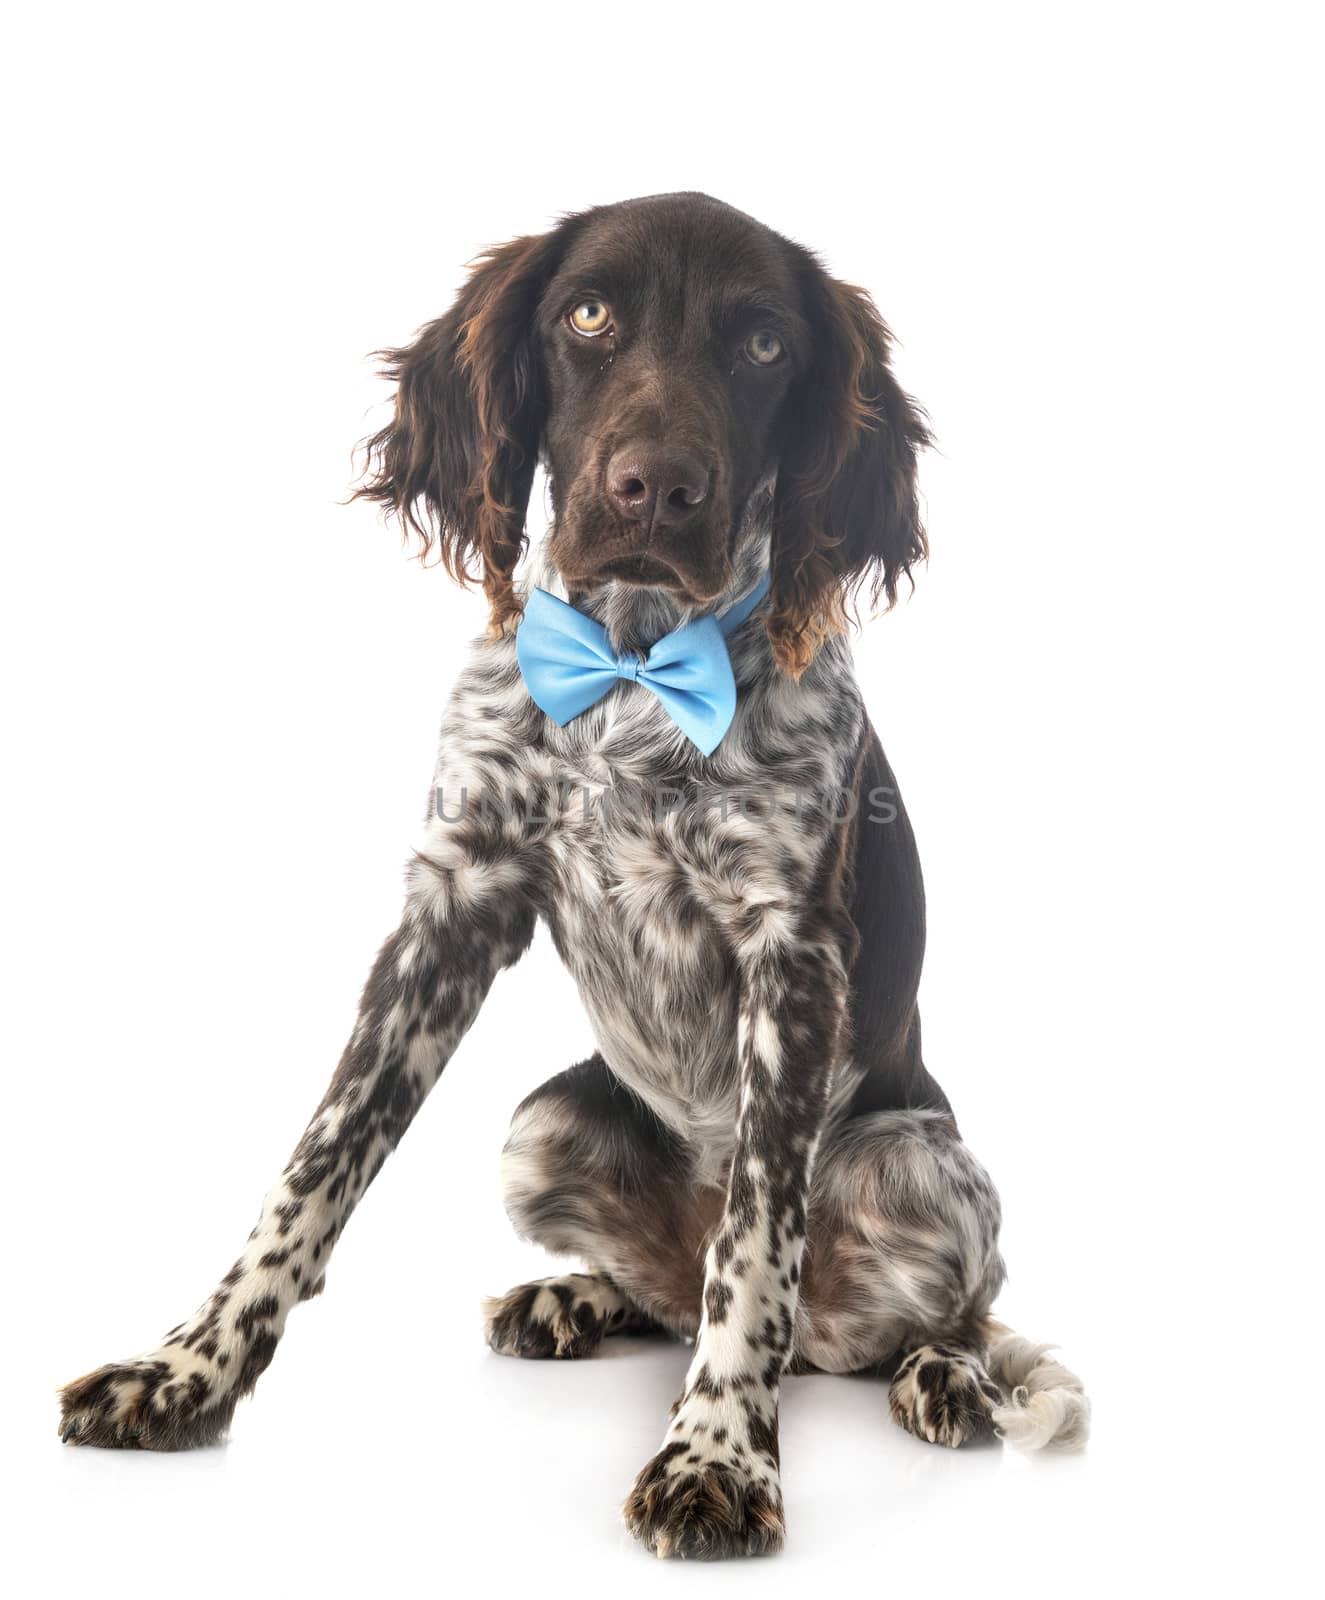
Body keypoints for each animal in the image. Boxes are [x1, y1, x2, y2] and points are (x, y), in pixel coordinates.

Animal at [56, 193, 1088, 1555]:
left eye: (764, 343)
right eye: (587, 314)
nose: (654, 487)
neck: (633, 670)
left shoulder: (791, 953)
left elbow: (755, 1244)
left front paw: (717, 1455)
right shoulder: (450, 906)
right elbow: (312, 1167)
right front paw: (188, 1370)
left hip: (918, 1162)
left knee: (917, 1315)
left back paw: (941, 1376)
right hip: (544, 1122)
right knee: (665, 1291)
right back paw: (572, 1300)